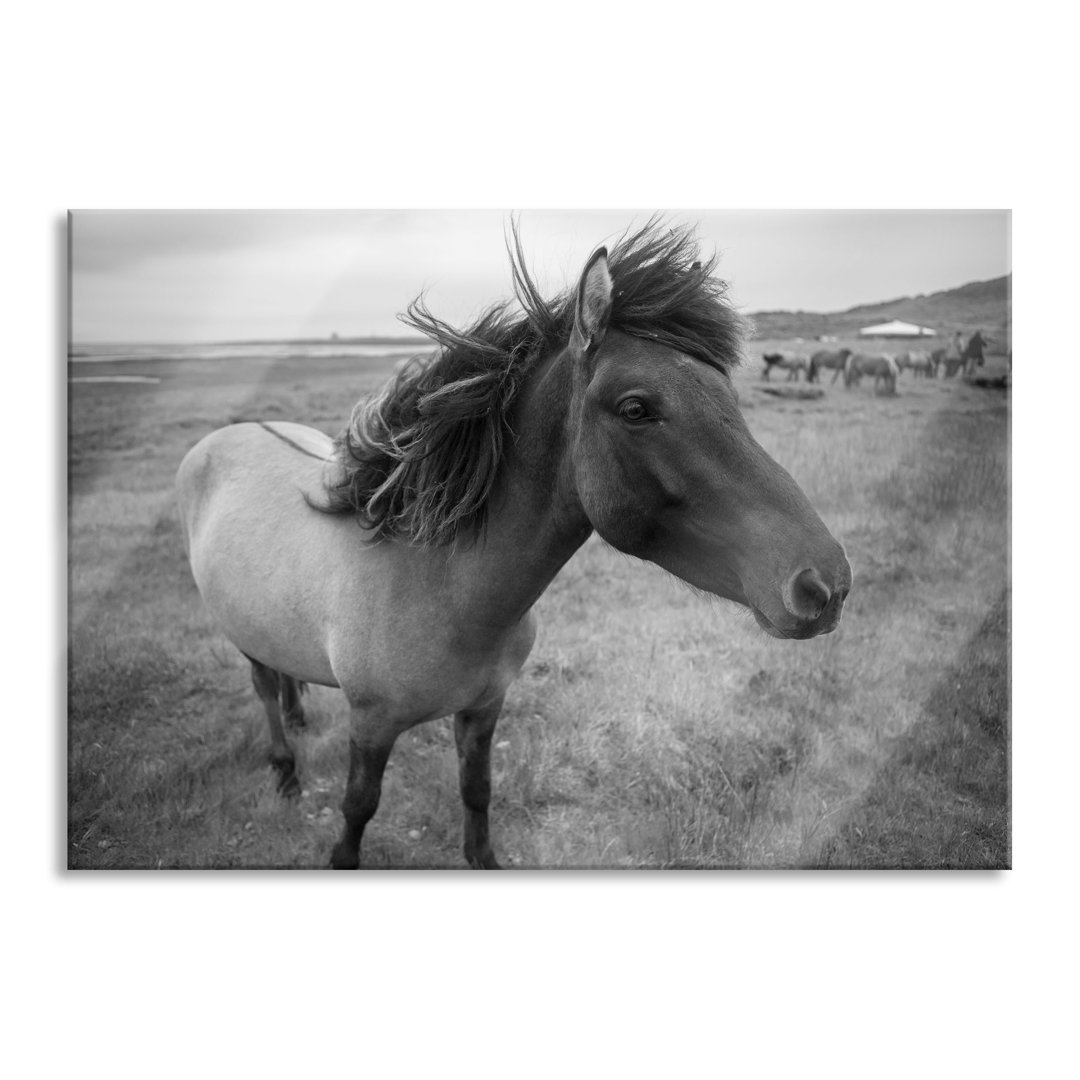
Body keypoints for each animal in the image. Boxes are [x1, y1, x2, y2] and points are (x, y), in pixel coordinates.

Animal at [177, 221, 851, 868]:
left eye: (731, 397)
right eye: (636, 408)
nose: (826, 584)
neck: (440, 587)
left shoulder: (484, 709)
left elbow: (477, 792)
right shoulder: (371, 724)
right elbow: (357, 810)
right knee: (263, 687)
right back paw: (285, 769)